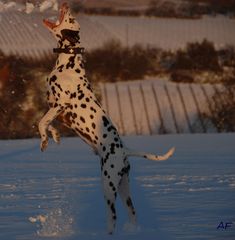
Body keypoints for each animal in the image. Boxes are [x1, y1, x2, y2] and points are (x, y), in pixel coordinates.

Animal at [38, 2, 174, 234]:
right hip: (124, 188)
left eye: (71, 19)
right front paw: (52, 137)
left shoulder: (60, 105)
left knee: (113, 215)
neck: (68, 63)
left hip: (108, 185)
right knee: (132, 212)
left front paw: (45, 139)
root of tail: (124, 151)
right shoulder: (57, 111)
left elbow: (41, 122)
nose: (66, 4)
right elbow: (48, 123)